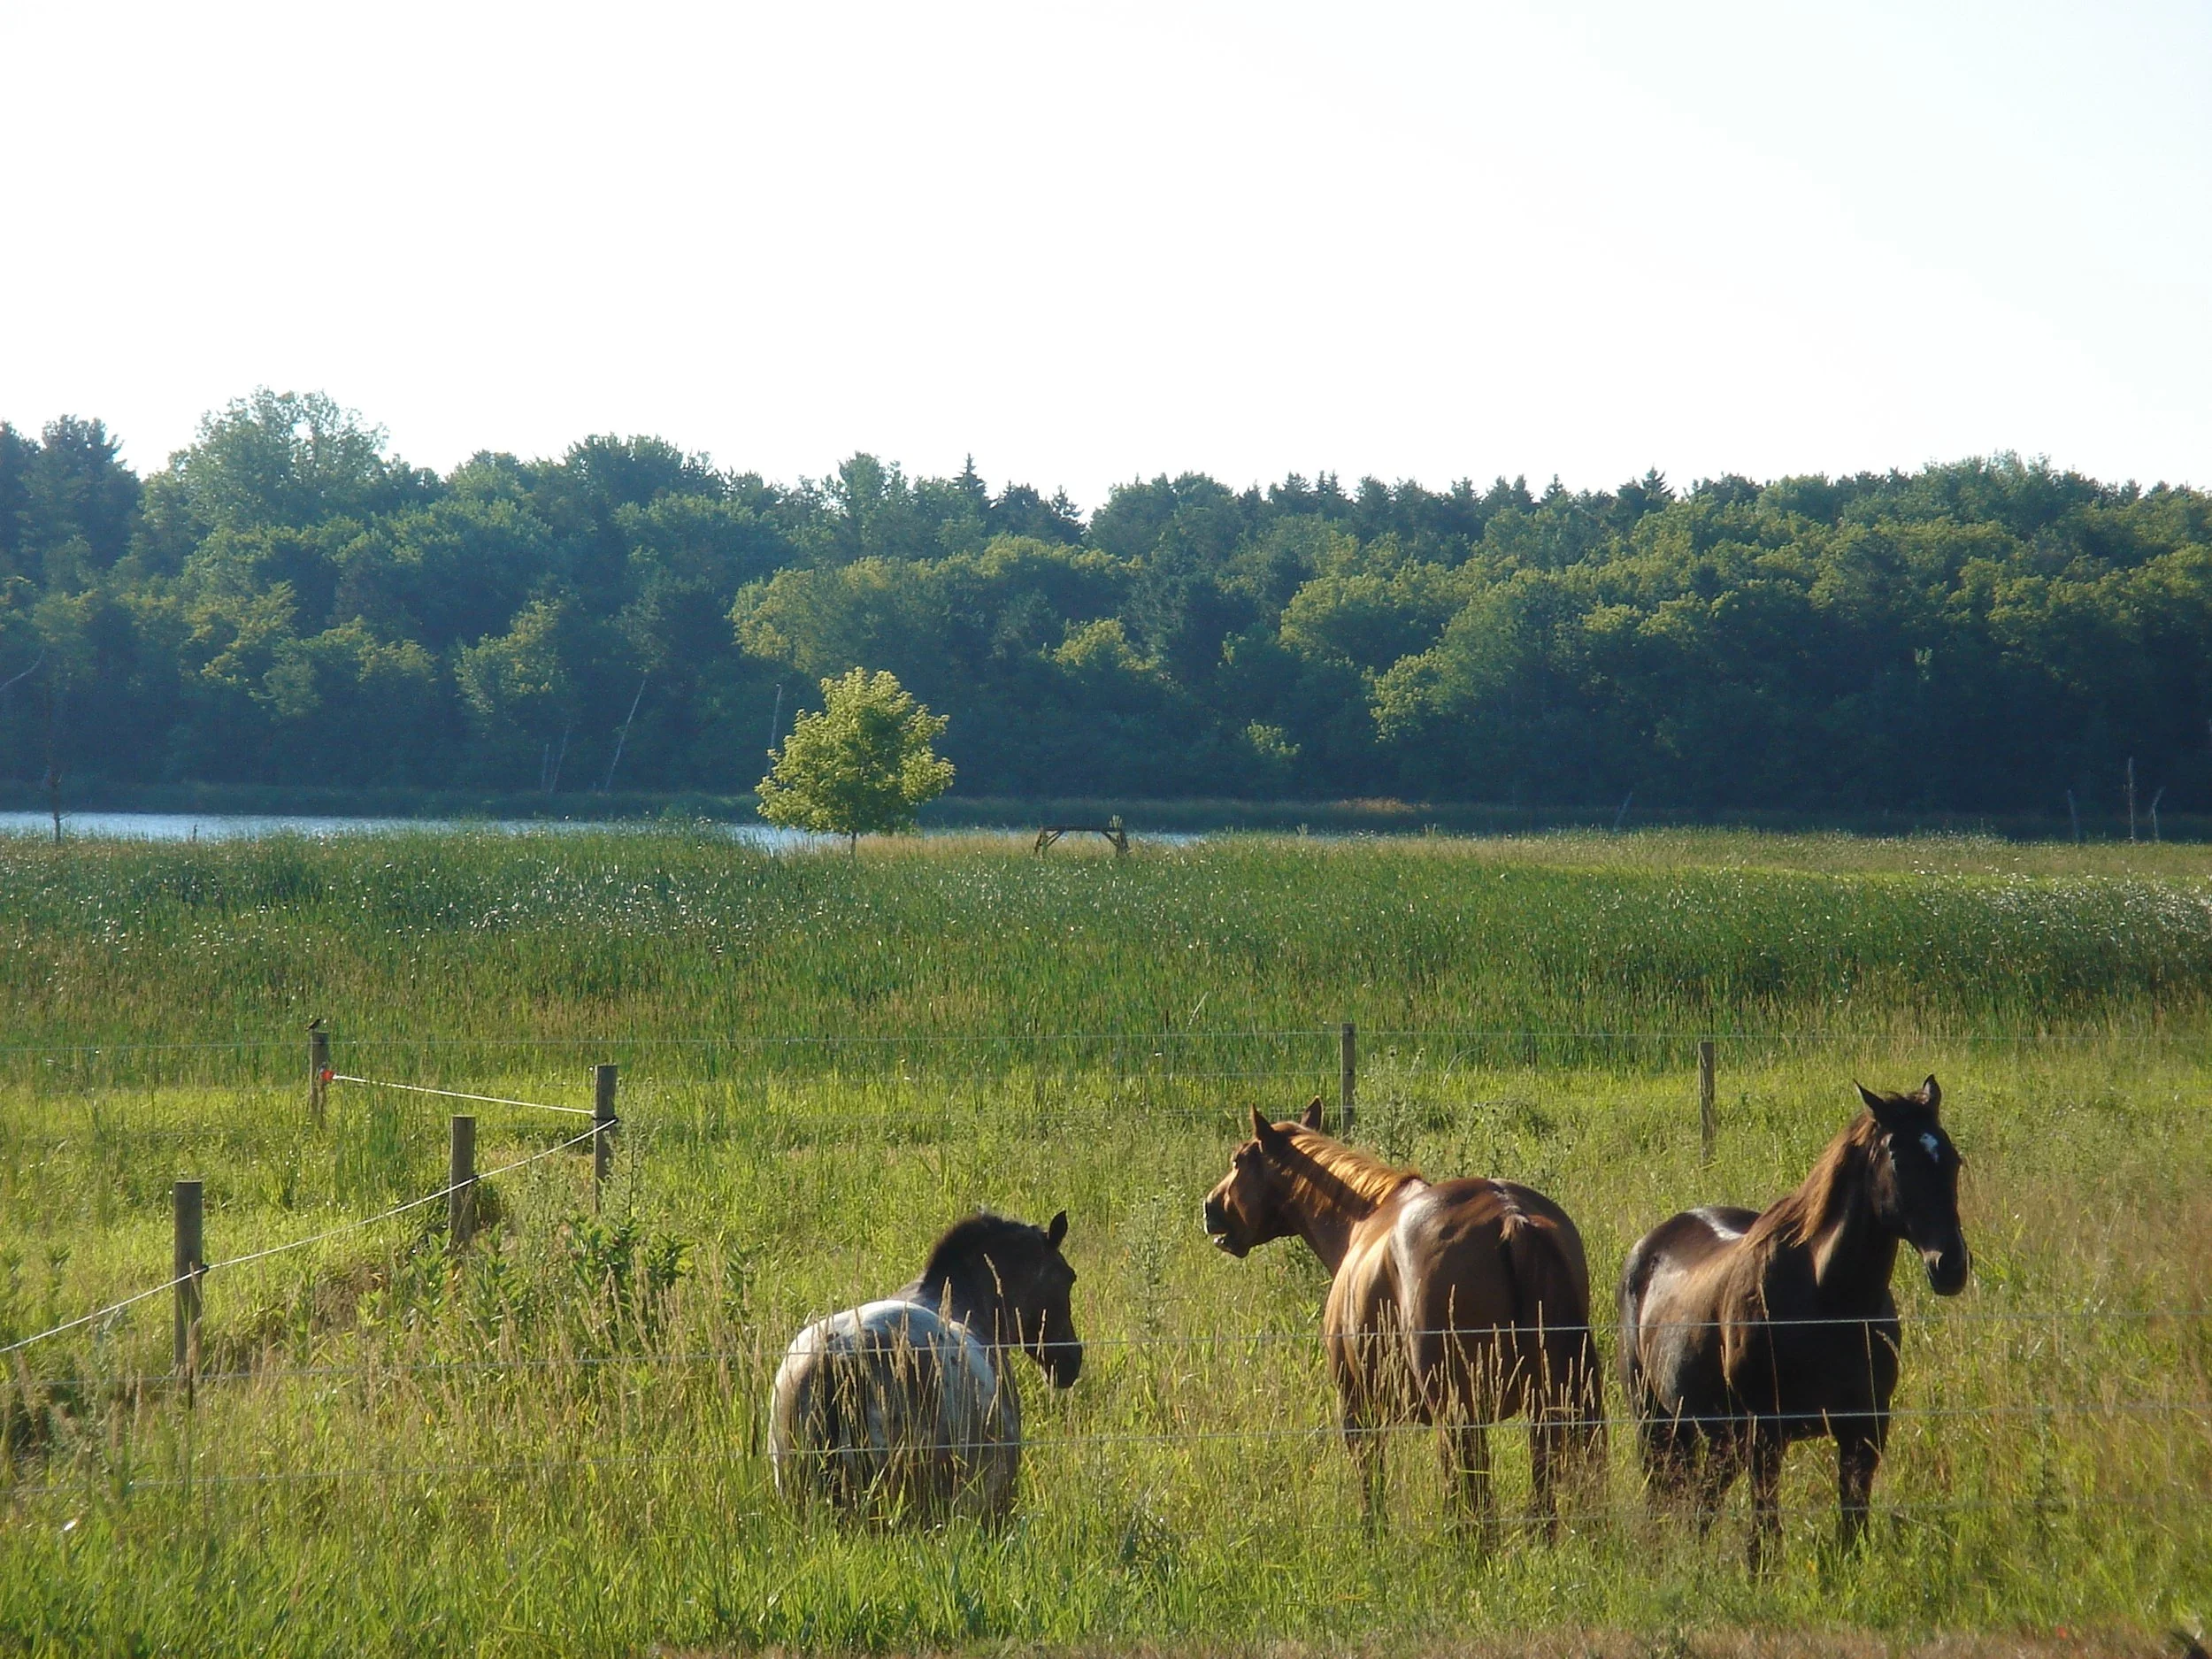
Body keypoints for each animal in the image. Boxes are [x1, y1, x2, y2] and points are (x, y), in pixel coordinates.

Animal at [1202, 1098, 1604, 1540]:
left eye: (1239, 1160)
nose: (1209, 1207)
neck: (1363, 1220)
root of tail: (1512, 1219)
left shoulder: (1358, 1408)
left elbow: (1371, 1483)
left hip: (1461, 1416)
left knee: (1474, 1498)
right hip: (1554, 1403)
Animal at [1617, 1076, 1970, 1569]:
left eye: (1952, 1159)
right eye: (1899, 1160)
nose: (1950, 1265)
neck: (1828, 1300)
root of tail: (1650, 1244)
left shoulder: (1866, 1430)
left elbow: (1852, 1528)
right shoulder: (1766, 1433)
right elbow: (1765, 1535)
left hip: (1719, 1437)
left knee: (1703, 1501)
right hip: (1658, 1422)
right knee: (1666, 1497)